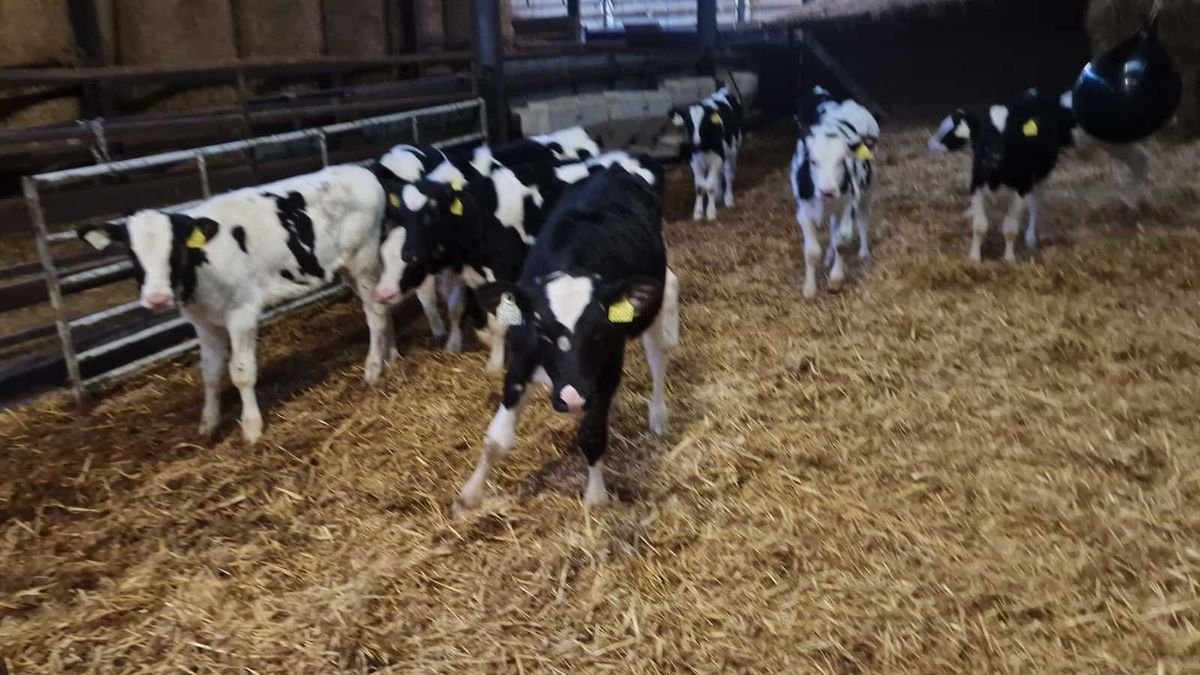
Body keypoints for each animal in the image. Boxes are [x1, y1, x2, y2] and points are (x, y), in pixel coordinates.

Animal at [78, 165, 391, 444]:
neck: (202, 266)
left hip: (364, 262)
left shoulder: (242, 313)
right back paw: (390, 355)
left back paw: (373, 368)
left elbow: (241, 372)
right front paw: (208, 424)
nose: (157, 298)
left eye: (175, 249)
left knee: (375, 314)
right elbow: (210, 373)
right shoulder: (203, 323)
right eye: (131, 252)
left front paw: (251, 427)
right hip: (347, 270)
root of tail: (361, 171)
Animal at [455, 162, 680, 513]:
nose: (573, 397)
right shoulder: (520, 362)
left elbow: (592, 434)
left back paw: (657, 416)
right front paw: (469, 495)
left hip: (656, 302)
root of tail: (614, 170)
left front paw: (596, 498)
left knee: (658, 351)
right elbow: (496, 440)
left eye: (600, 331)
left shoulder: (608, 365)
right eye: (541, 330)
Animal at [669, 84, 743, 221]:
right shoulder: (694, 160)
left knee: (729, 175)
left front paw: (710, 212)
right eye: (688, 123)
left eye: (704, 123)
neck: (703, 147)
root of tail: (723, 90)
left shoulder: (718, 158)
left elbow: (709, 185)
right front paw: (698, 213)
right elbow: (700, 187)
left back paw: (728, 198)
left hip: (733, 150)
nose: (696, 142)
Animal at [790, 97, 880, 298]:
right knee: (833, 228)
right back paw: (829, 256)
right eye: (812, 161)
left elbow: (842, 241)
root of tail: (849, 103)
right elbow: (812, 252)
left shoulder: (848, 205)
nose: (828, 191)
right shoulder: (803, 213)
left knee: (862, 220)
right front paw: (809, 288)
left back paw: (863, 253)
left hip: (867, 191)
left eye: (842, 160)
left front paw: (836, 279)